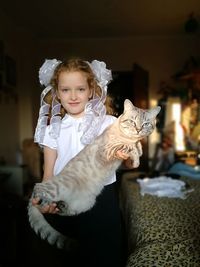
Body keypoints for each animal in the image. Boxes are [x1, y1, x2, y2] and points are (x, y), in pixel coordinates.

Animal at [27, 99, 161, 251]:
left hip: (86, 203)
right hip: (56, 188)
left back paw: (61, 206)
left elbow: (138, 148)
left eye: (145, 124)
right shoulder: (108, 151)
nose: (138, 129)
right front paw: (135, 156)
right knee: (38, 190)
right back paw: (45, 202)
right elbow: (128, 147)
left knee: (68, 210)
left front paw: (137, 155)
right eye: (132, 122)